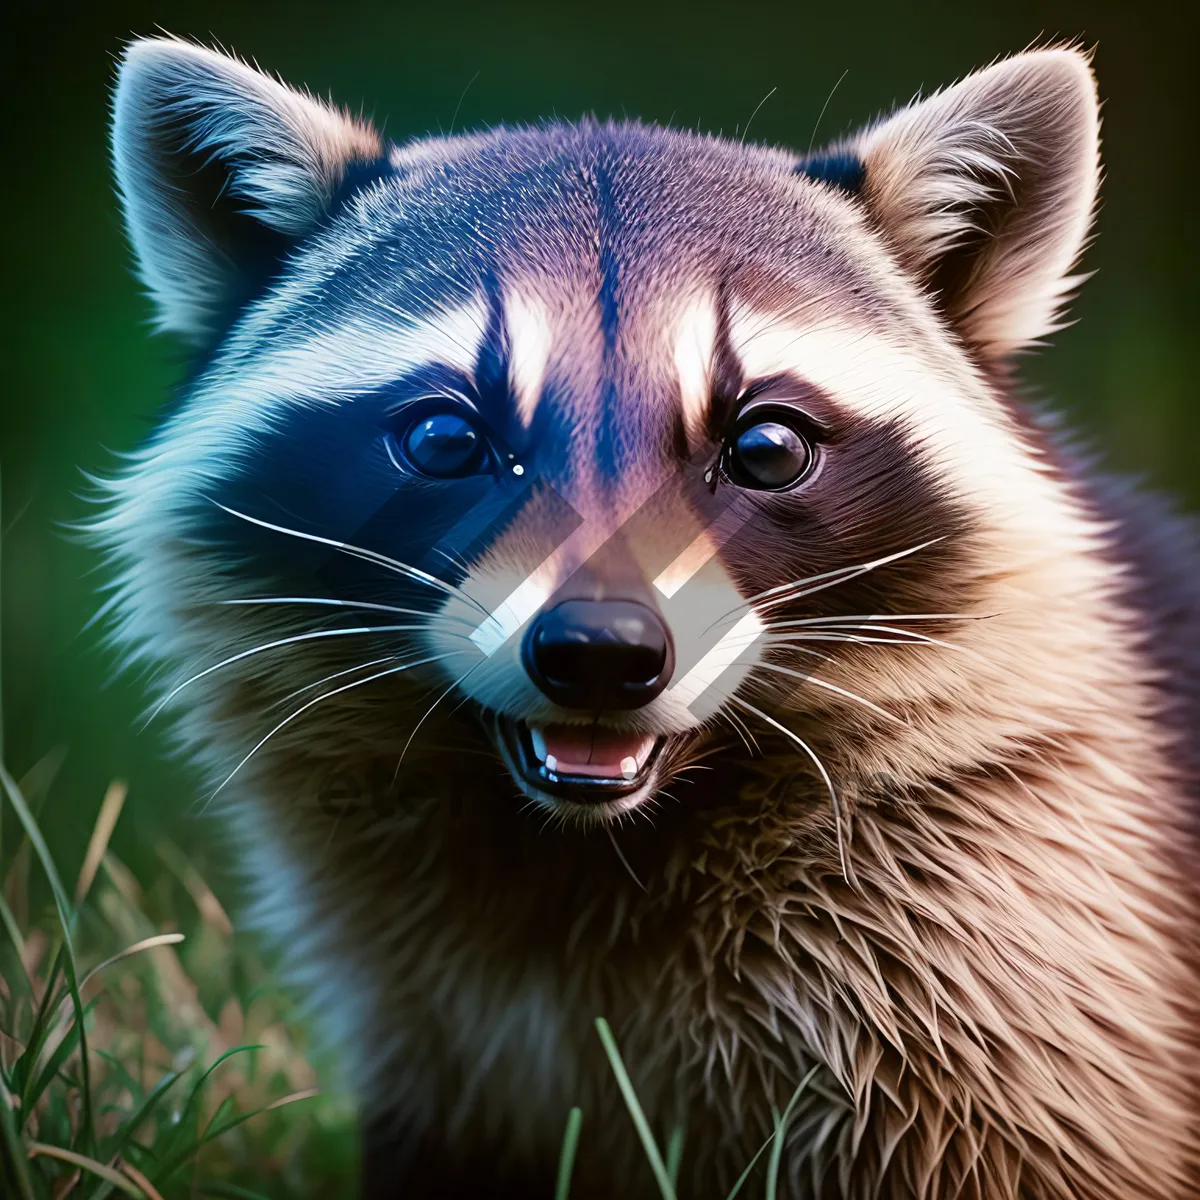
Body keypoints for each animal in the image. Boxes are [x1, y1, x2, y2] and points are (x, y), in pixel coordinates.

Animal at [96, 37, 1200, 1200]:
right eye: (447, 439)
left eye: (765, 446)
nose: (598, 653)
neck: (585, 848)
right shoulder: (427, 1016)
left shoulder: (1018, 923)